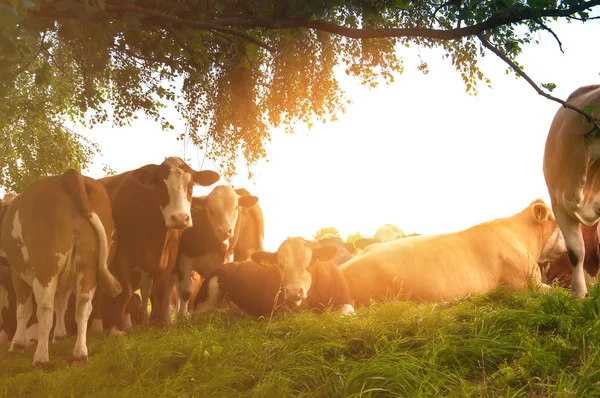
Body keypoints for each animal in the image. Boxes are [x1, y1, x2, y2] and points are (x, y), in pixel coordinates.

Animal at [0, 168, 122, 364]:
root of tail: (69, 175)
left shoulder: (17, 273)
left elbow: (24, 309)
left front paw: (17, 345)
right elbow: (61, 305)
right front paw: (59, 336)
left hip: (46, 267)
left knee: (44, 309)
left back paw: (41, 357)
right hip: (87, 266)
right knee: (83, 306)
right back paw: (80, 352)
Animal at [91, 157, 218, 334]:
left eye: (191, 186)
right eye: (160, 187)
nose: (180, 218)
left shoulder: (169, 258)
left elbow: (159, 291)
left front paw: (158, 323)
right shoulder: (122, 257)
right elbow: (126, 292)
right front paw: (118, 328)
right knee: (99, 294)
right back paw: (97, 325)